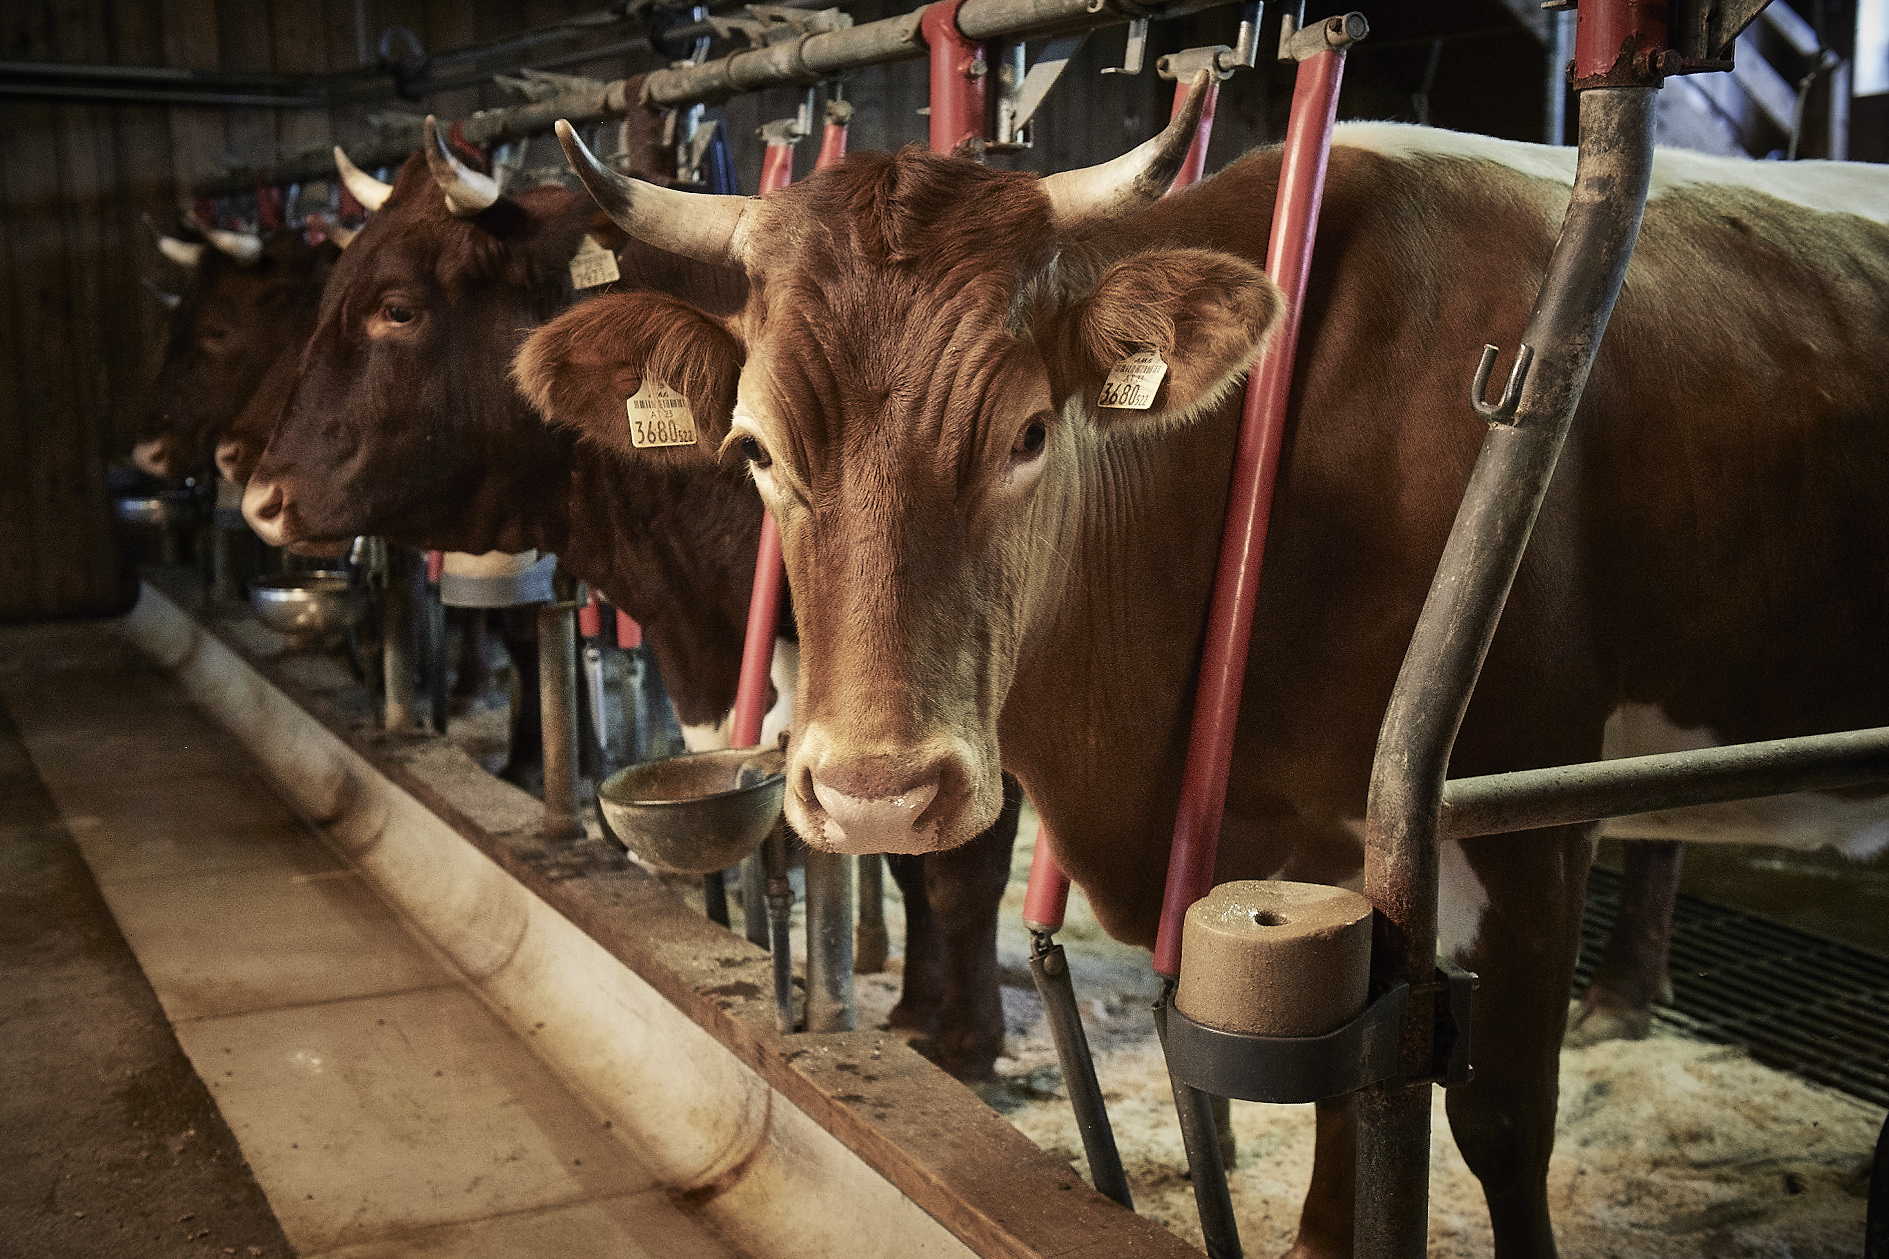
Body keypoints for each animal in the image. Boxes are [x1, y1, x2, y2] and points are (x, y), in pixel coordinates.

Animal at [520, 87, 1889, 1256]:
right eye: (753, 446)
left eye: (1028, 431)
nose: (875, 792)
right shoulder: (1322, 848)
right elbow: (1344, 1089)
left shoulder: (1524, 808)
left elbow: (1500, 1115)